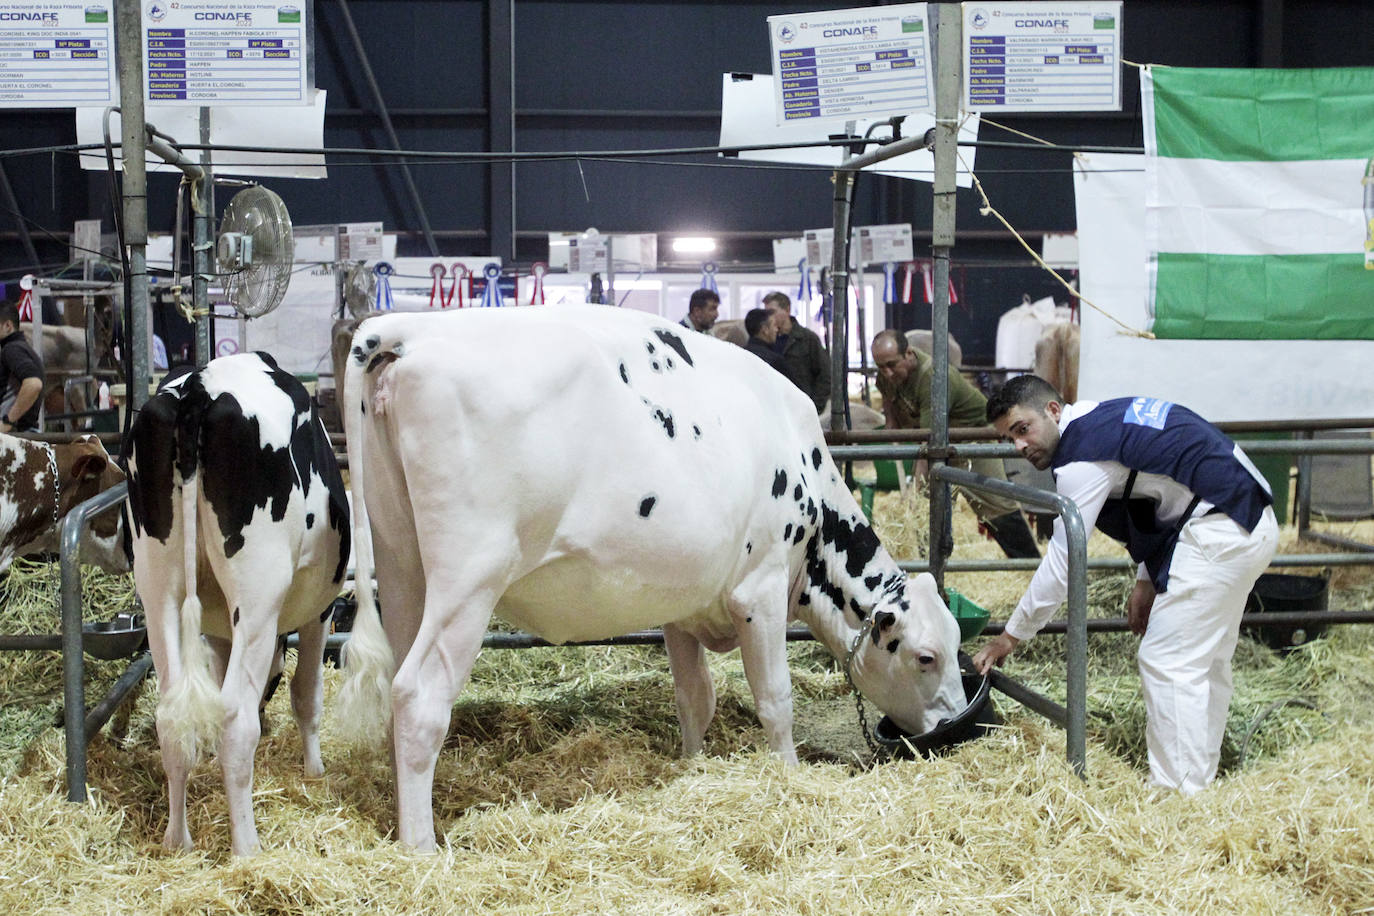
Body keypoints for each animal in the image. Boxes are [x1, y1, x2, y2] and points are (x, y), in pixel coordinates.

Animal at [126, 354, 348, 862]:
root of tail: (199, 388)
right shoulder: (319, 611)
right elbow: (307, 693)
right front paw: (314, 769)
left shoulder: (218, 629)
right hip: (258, 593)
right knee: (235, 719)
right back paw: (247, 846)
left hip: (157, 587)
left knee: (171, 716)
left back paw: (177, 841)